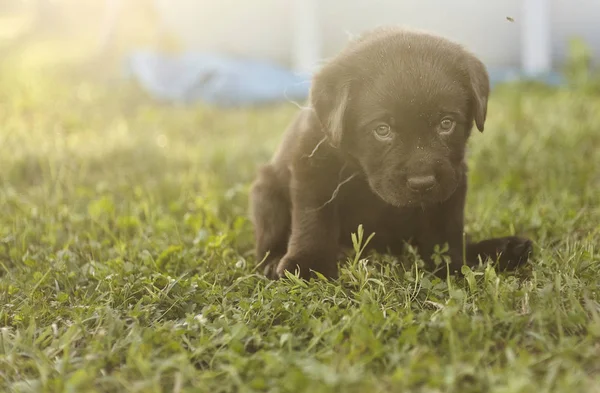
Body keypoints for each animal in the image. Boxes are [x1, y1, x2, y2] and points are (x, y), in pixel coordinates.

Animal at [251, 26, 532, 278]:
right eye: (382, 130)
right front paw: (308, 265)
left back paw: (505, 249)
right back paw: (274, 261)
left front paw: (450, 264)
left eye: (446, 124)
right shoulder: (312, 165)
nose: (422, 183)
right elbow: (314, 219)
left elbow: (445, 228)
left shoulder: (453, 176)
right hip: (266, 193)